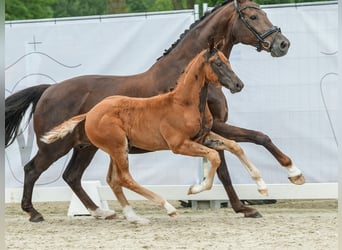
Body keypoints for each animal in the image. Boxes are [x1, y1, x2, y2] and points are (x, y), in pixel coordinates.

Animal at [42, 42, 268, 223]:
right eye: (218, 64)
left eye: (227, 61)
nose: (238, 84)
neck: (184, 103)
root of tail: (90, 113)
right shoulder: (179, 145)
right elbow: (215, 157)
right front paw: (195, 190)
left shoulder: (203, 137)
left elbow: (235, 146)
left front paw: (262, 186)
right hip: (117, 147)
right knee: (125, 178)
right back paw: (167, 208)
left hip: (117, 149)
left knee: (113, 180)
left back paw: (134, 217)